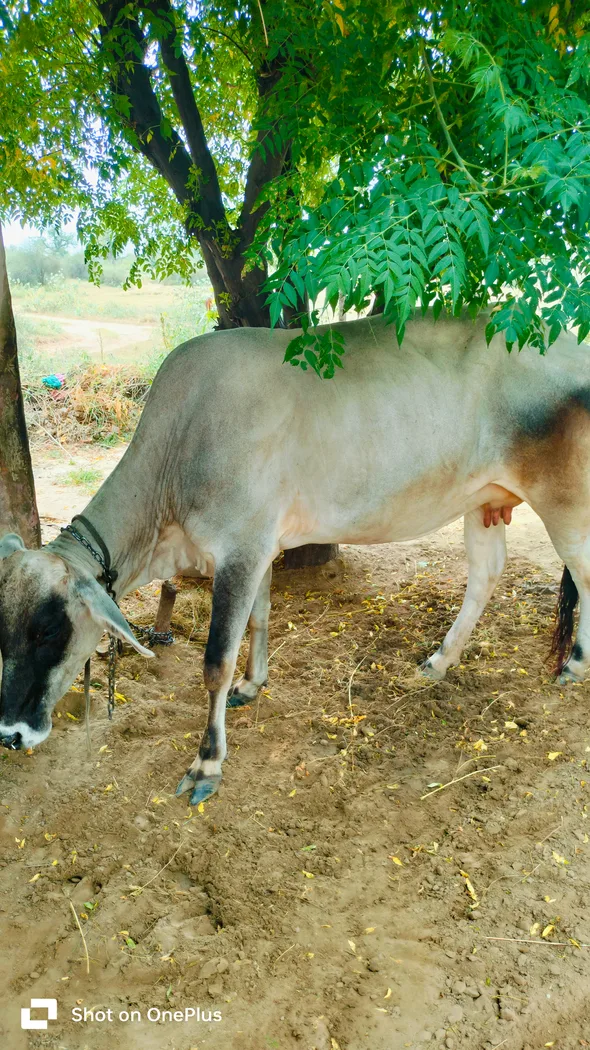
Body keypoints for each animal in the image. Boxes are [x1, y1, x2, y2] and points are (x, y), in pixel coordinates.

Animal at [0, 313, 586, 804]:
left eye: (47, 631)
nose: (10, 733)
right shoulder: (259, 546)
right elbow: (259, 619)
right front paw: (252, 684)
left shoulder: (240, 547)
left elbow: (215, 661)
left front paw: (207, 764)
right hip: (484, 500)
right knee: (485, 576)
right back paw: (438, 662)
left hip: (565, 501)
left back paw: (575, 665)